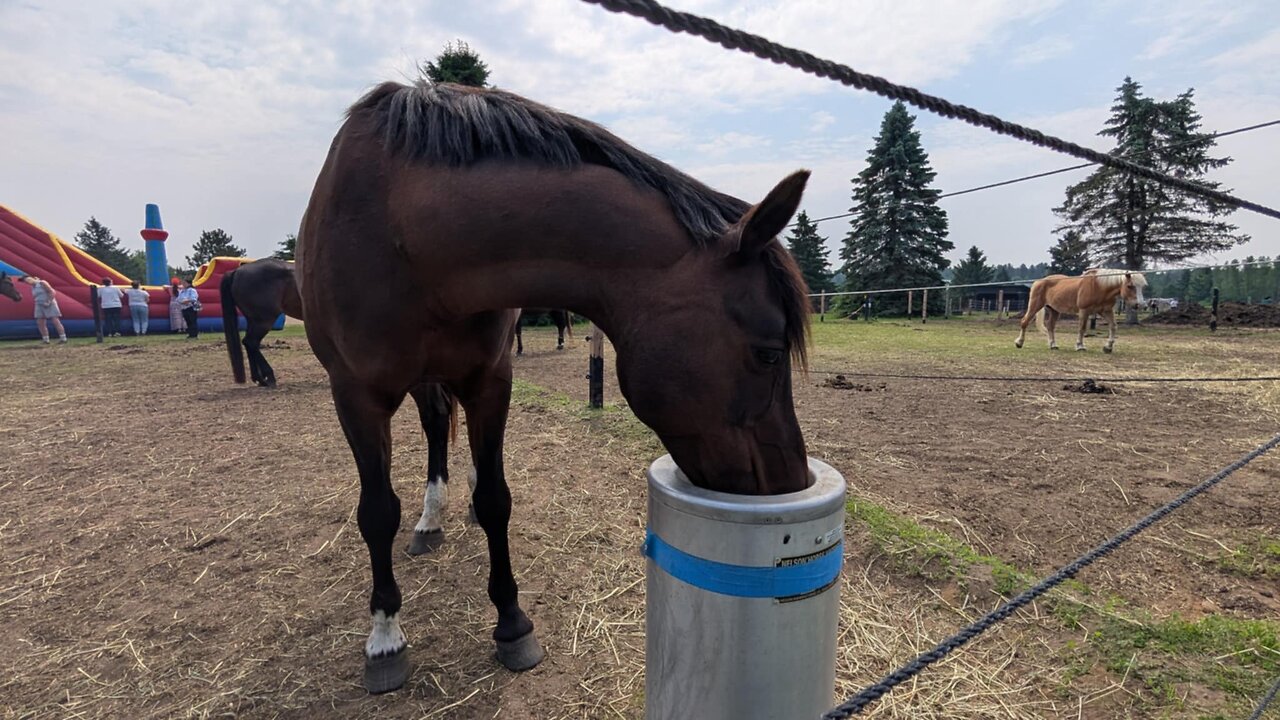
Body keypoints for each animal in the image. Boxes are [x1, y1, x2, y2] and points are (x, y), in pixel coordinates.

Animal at [297, 80, 812, 693]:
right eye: (768, 353)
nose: (791, 482)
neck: (403, 234)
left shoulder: (491, 382)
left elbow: (496, 500)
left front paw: (512, 623)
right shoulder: (354, 395)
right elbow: (376, 513)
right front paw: (384, 638)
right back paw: (429, 518)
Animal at [1015, 269, 1147, 352]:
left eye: (1142, 287)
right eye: (1130, 286)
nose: (1140, 305)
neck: (1099, 286)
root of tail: (1039, 281)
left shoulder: (1106, 311)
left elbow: (1113, 326)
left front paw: (1108, 347)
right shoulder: (1084, 310)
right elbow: (1082, 328)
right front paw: (1080, 346)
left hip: (1054, 310)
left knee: (1050, 326)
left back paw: (1053, 345)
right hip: (1035, 305)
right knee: (1024, 322)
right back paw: (1019, 343)